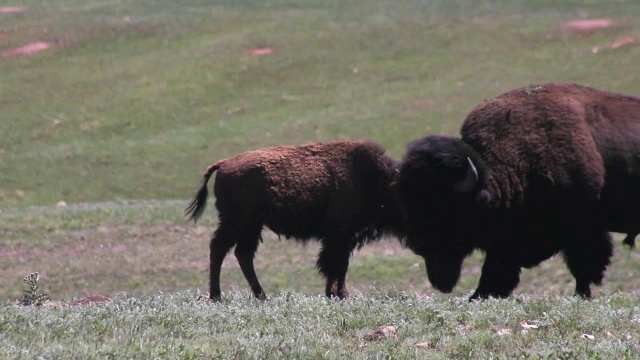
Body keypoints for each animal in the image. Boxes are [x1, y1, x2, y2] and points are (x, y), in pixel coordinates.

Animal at [186, 139, 404, 300]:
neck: (376, 179)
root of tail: (223, 164)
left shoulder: (342, 237)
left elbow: (336, 265)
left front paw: (335, 293)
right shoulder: (341, 235)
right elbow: (338, 264)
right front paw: (340, 295)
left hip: (251, 226)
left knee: (242, 254)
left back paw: (261, 296)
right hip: (237, 223)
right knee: (220, 248)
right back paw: (217, 296)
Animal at [396, 83, 640, 300]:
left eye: (443, 206)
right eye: (407, 201)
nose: (416, 244)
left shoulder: (582, 228)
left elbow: (585, 266)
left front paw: (582, 295)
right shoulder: (507, 242)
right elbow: (495, 273)